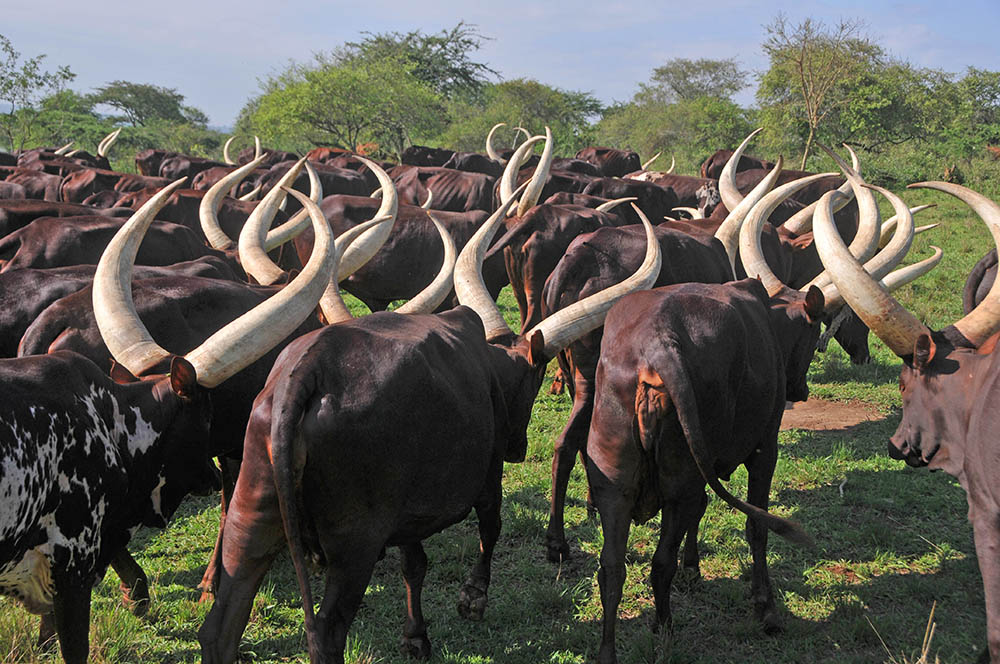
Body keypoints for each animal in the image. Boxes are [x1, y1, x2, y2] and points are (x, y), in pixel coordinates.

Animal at [197, 191, 662, 664]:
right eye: (533, 382)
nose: (518, 448)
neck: (487, 365)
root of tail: (305, 374)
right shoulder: (487, 474)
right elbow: (490, 527)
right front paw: (473, 597)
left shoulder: (408, 508)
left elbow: (414, 565)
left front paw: (415, 636)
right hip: (354, 546)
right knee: (326, 632)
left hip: (251, 517)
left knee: (220, 626)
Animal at [586, 278, 822, 663]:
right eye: (814, 337)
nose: (801, 389)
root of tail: (658, 343)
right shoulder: (764, 450)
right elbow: (757, 527)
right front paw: (766, 608)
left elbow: (702, 510)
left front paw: (692, 567)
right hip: (679, 484)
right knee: (660, 562)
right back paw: (665, 627)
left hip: (614, 487)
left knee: (612, 569)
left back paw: (609, 651)